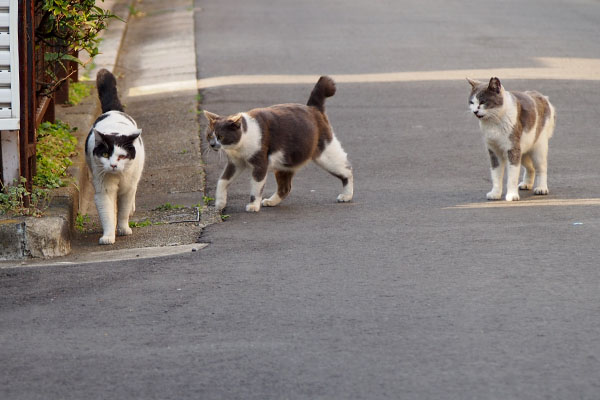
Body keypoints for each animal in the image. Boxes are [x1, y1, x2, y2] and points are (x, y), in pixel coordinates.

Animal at [85, 69, 145, 244]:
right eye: (105, 154)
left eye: (122, 156)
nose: (112, 165)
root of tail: (112, 111)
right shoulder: (103, 189)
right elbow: (107, 214)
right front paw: (108, 236)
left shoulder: (127, 188)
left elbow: (123, 211)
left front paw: (124, 229)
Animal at [203, 75, 352, 212]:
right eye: (209, 135)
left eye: (220, 136)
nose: (212, 144)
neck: (238, 148)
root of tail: (313, 108)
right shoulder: (235, 163)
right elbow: (222, 181)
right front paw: (220, 203)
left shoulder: (260, 164)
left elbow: (256, 187)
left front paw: (253, 206)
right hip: (284, 164)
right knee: (285, 187)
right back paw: (270, 201)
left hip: (325, 154)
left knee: (347, 170)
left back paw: (346, 196)